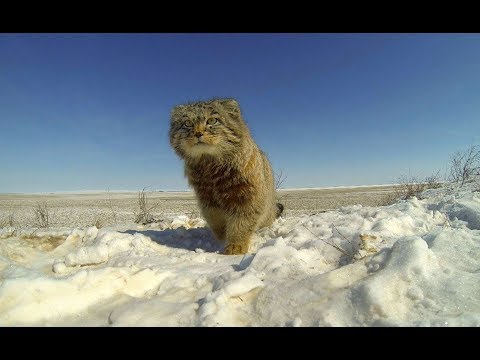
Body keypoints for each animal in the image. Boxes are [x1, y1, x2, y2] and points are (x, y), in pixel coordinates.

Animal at [170, 98, 284, 255]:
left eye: (212, 120)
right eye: (187, 123)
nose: (198, 133)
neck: (210, 168)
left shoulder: (246, 197)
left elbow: (241, 223)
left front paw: (236, 245)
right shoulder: (207, 199)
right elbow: (216, 220)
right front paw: (222, 236)